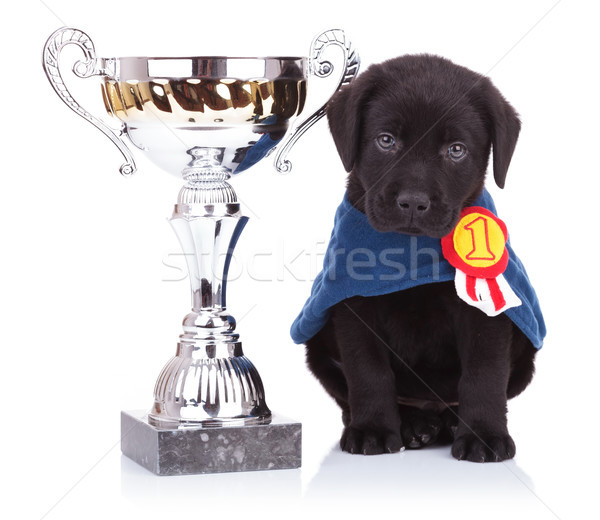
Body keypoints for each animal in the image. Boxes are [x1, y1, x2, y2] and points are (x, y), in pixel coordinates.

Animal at [302, 55, 540, 464]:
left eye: (456, 150)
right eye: (386, 141)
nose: (413, 202)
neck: (410, 253)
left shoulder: (486, 311)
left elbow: (484, 372)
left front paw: (484, 435)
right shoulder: (352, 304)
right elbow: (368, 371)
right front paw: (373, 430)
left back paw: (445, 425)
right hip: (316, 341)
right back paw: (412, 425)